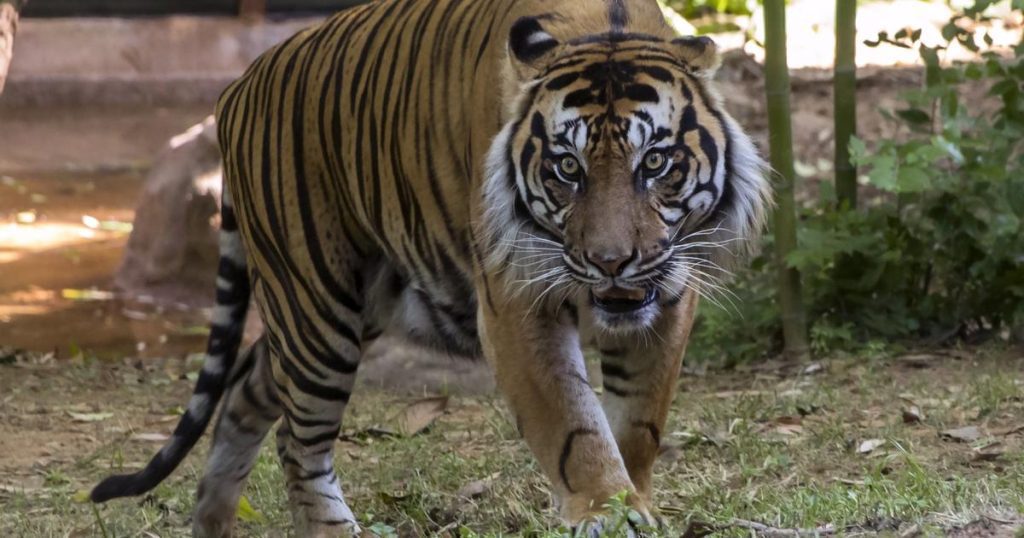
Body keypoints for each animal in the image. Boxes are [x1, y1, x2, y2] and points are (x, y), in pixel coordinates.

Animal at [90, 0, 770, 528]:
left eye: (654, 163)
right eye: (566, 168)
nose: (610, 262)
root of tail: (237, 87)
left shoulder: (671, 293)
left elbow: (638, 424)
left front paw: (635, 499)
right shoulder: (515, 299)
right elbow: (574, 425)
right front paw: (606, 510)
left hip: (353, 303)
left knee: (245, 389)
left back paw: (212, 521)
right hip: (316, 305)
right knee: (297, 439)